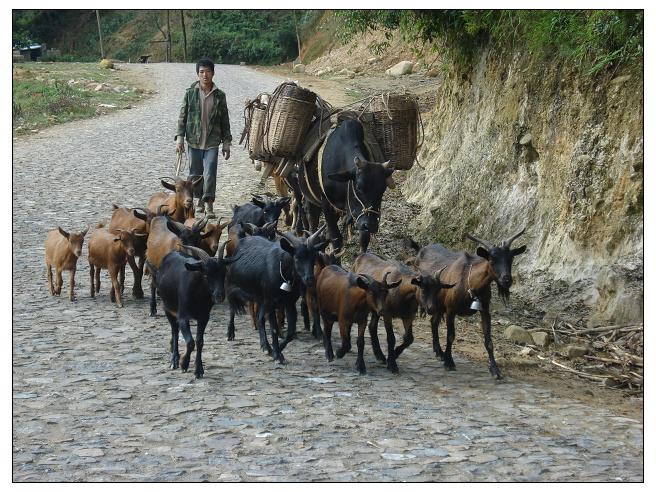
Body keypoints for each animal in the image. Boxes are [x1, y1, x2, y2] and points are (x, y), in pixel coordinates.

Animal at [416, 229, 528, 378]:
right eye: (491, 259)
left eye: (511, 258)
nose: (506, 280)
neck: (470, 283)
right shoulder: (451, 309)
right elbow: (451, 336)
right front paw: (449, 362)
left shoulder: (485, 310)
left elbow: (489, 342)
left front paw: (495, 369)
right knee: (433, 322)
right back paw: (441, 353)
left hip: (438, 305)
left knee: (433, 322)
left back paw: (439, 352)